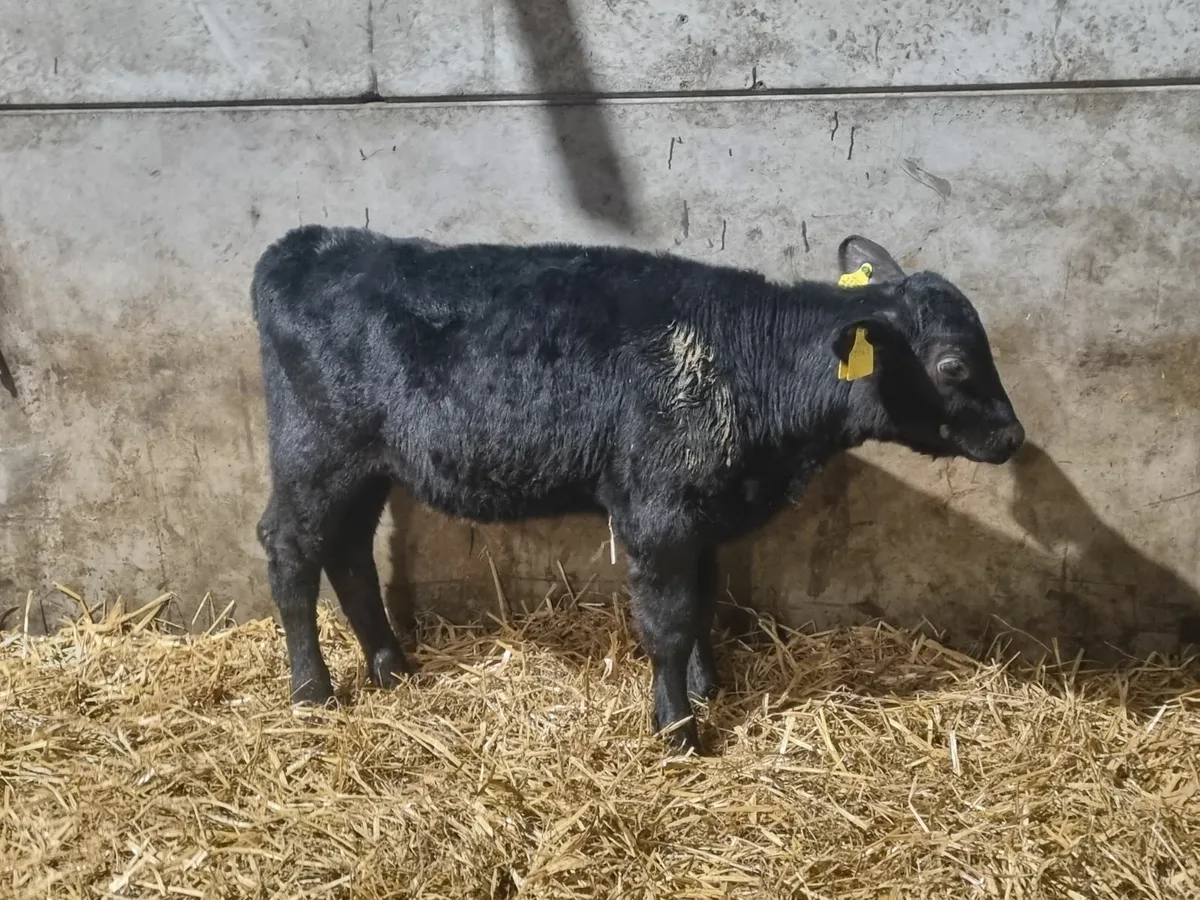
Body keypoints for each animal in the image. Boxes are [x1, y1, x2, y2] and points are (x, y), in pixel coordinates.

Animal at [251, 227, 1024, 753]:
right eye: (953, 364)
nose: (1013, 436)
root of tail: (308, 244)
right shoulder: (657, 514)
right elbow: (668, 622)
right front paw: (678, 727)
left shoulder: (703, 513)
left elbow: (705, 602)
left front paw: (710, 687)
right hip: (314, 451)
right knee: (290, 547)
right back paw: (312, 691)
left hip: (366, 468)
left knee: (348, 552)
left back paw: (390, 667)